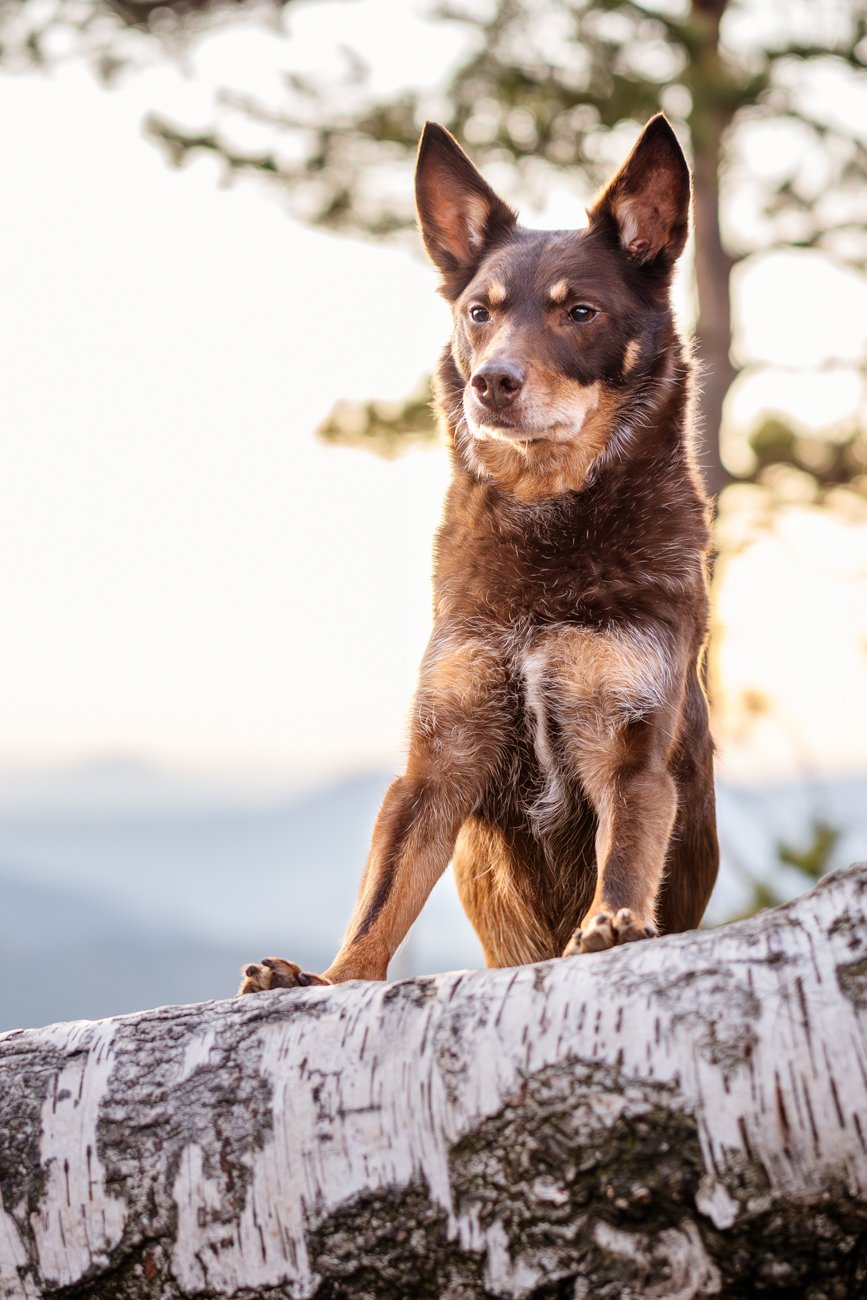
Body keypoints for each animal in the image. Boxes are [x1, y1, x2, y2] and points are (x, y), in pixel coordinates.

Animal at [239, 114, 717, 993]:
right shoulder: (436, 764)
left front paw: (610, 925)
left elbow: (625, 856)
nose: (490, 382)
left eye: (580, 311)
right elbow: (380, 904)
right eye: (477, 313)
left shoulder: (629, 748)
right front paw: (324, 977)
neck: (546, 522)